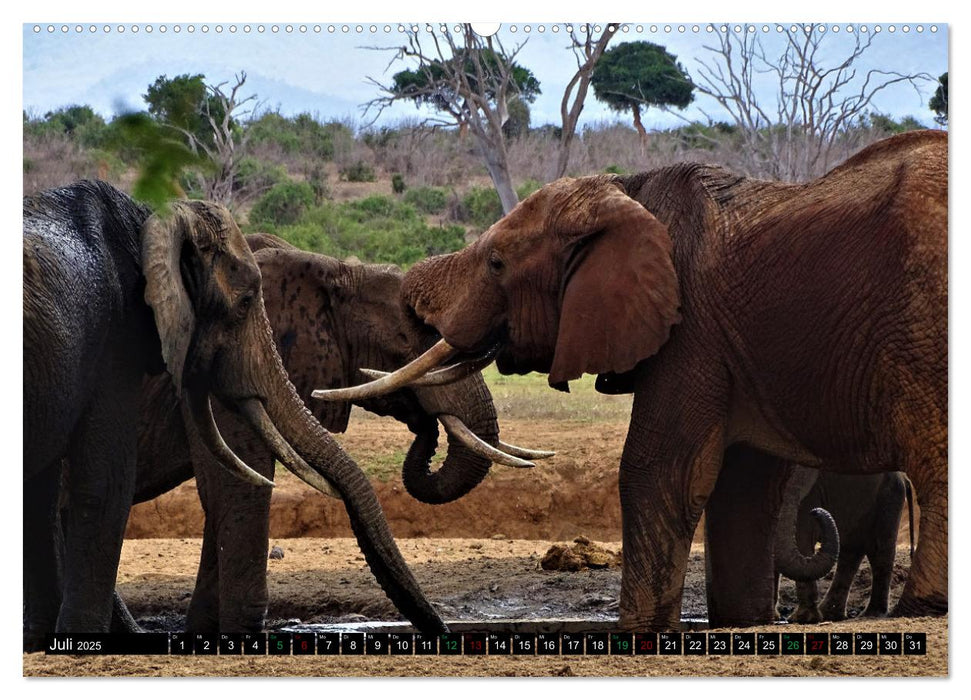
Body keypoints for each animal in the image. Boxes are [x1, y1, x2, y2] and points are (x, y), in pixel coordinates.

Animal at [23, 182, 448, 652]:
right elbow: (216, 481)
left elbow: (222, 483)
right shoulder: (119, 347)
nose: (441, 631)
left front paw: (204, 632)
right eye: (406, 342)